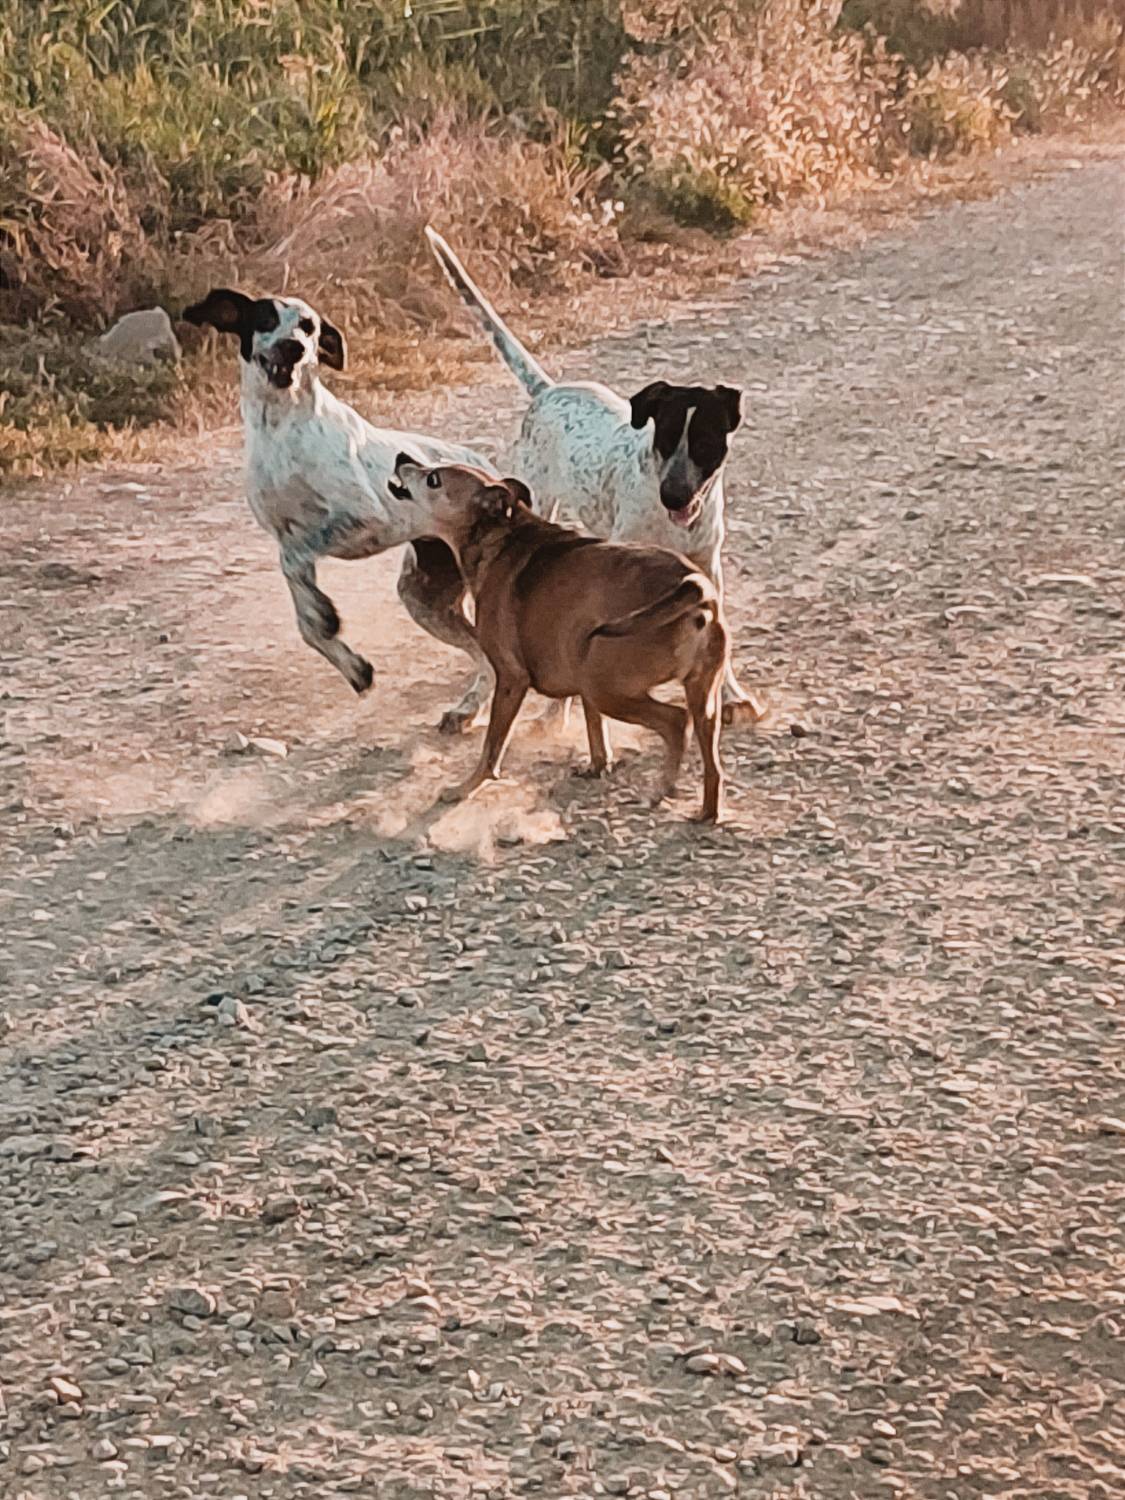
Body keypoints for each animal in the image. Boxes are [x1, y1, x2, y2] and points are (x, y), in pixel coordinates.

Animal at [182, 287, 496, 724]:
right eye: (265, 318)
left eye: (309, 326)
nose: (293, 347)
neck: (282, 426)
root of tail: (492, 475)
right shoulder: (284, 533)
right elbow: (305, 617)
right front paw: (351, 663)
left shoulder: (361, 518)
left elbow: (295, 563)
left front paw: (324, 613)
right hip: (423, 597)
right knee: (482, 654)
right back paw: (467, 710)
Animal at [389, 459, 729, 822]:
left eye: (433, 479)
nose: (402, 460)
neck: (501, 537)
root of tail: (694, 588)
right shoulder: (579, 675)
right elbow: (595, 731)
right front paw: (598, 766)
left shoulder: (511, 679)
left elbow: (492, 748)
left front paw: (463, 789)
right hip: (699, 697)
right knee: (713, 765)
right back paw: (706, 812)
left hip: (606, 686)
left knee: (676, 722)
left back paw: (660, 789)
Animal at [425, 227, 762, 725]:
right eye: (665, 437)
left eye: (705, 442)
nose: (675, 496)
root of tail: (548, 390)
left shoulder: (708, 566)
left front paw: (734, 693)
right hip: (536, 498)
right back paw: (474, 702)